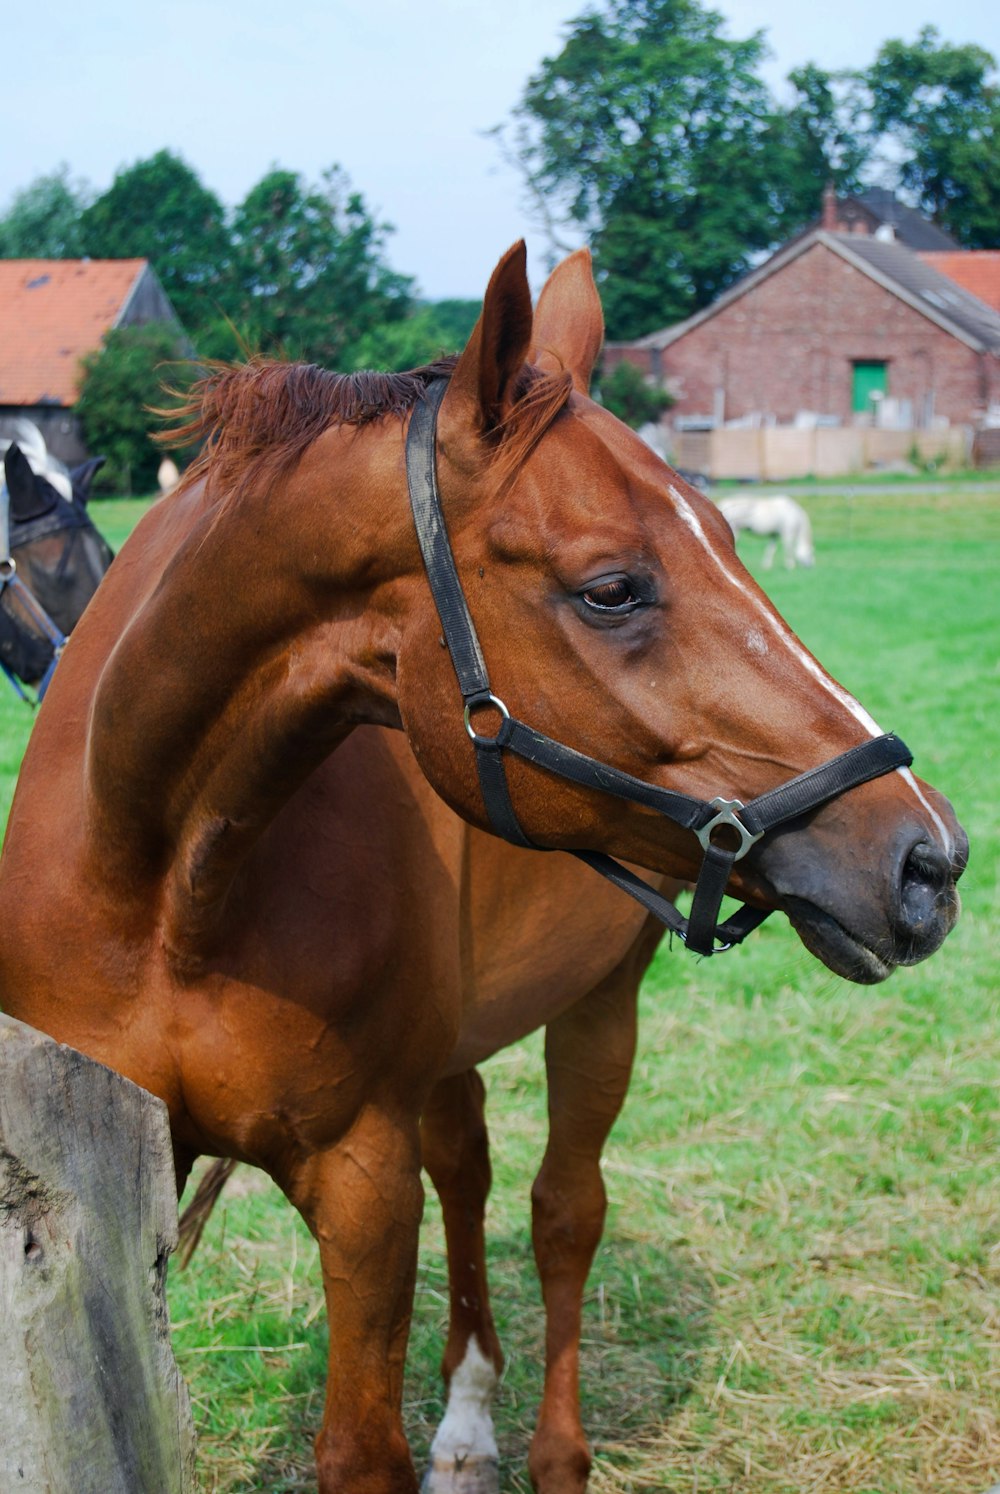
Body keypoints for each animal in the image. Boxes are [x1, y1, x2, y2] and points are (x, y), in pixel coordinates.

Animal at [0, 248, 962, 1494]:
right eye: (610, 588)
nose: (927, 857)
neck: (157, 889)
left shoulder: (361, 1177)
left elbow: (362, 1446)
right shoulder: (122, 1179)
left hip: (602, 1005)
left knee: (563, 1210)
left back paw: (549, 1449)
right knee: (470, 1172)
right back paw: (466, 1429)